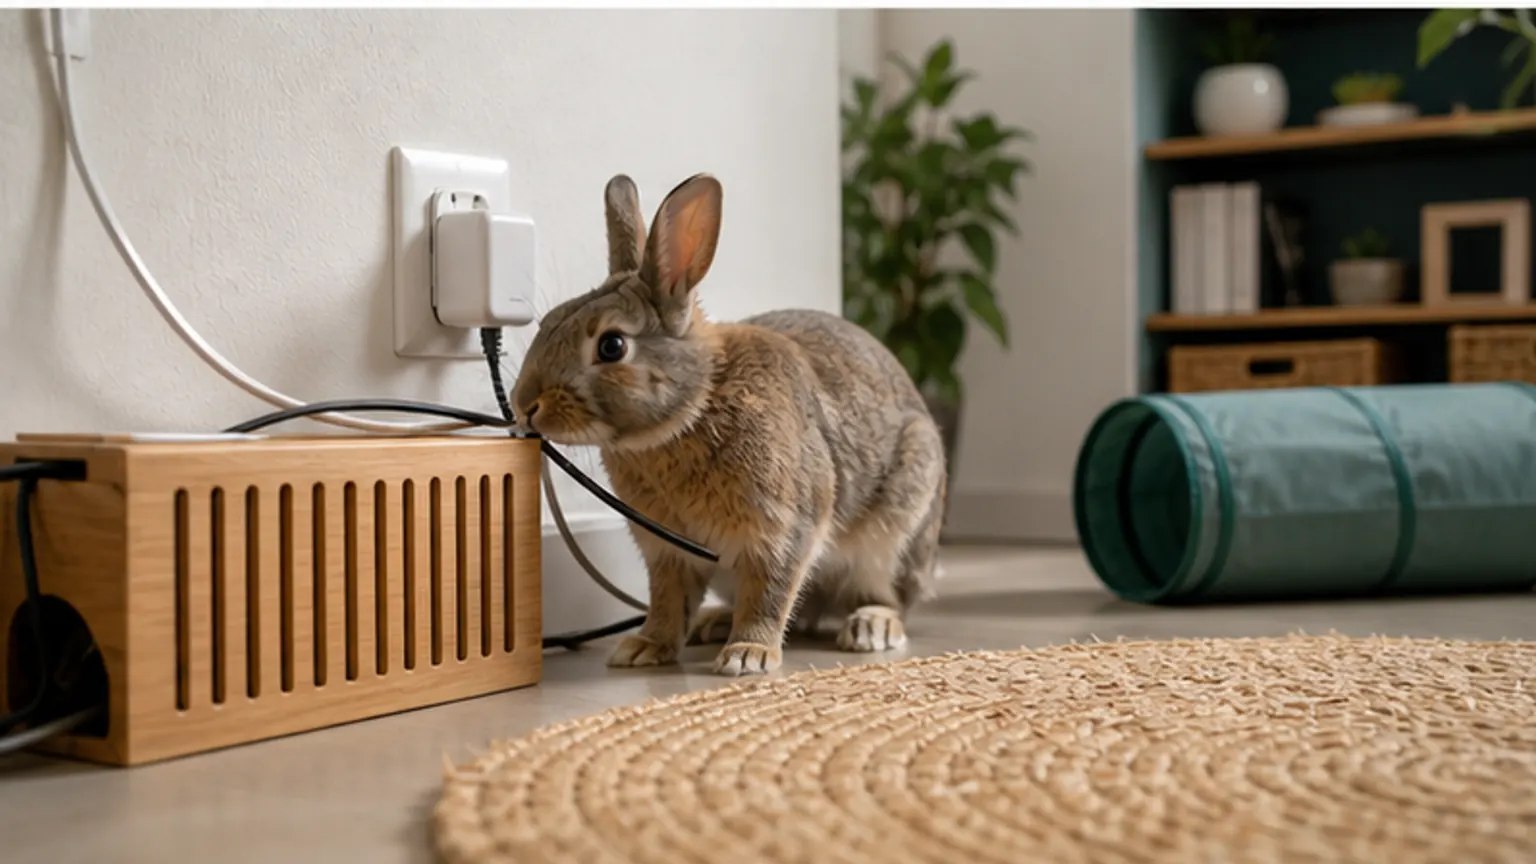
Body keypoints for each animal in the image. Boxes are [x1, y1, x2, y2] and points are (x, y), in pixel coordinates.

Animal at [510, 172, 946, 676]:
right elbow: (667, 601)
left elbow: (769, 593)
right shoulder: (668, 550)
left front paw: (748, 656)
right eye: (548, 321)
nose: (524, 405)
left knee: (886, 598)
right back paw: (714, 622)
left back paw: (870, 627)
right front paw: (644, 648)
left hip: (893, 539)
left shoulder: (782, 529)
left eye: (612, 345)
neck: (694, 407)